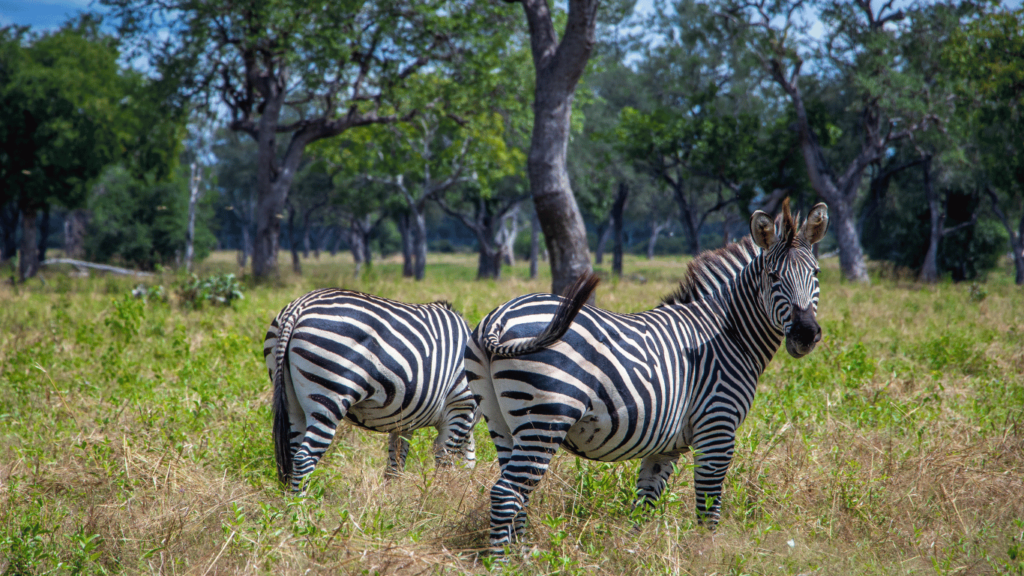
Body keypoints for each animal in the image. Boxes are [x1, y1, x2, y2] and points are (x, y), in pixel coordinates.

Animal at [262, 286, 473, 487]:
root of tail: (298, 306)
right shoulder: (460, 407)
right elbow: (447, 460)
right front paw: (439, 492)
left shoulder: (406, 418)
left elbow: (396, 462)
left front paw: (393, 495)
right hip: (329, 393)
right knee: (304, 458)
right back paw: (301, 502)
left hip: (291, 400)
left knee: (292, 454)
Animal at [468, 198, 827, 553]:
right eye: (773, 276)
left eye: (816, 273)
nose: (806, 334)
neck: (728, 332)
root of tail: (499, 318)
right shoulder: (717, 428)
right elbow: (708, 509)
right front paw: (706, 555)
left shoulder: (665, 445)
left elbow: (645, 502)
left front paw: (634, 553)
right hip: (544, 419)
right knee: (507, 493)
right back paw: (502, 562)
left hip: (501, 421)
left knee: (518, 494)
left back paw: (521, 556)